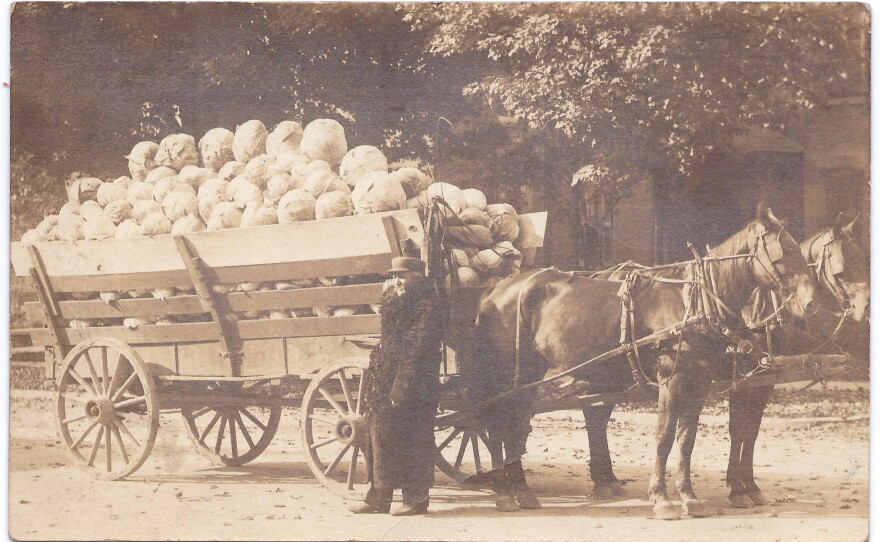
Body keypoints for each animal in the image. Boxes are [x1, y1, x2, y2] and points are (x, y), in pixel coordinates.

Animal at [468, 206, 820, 520]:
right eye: (782, 253)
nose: (810, 304)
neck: (695, 301)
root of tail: (496, 289)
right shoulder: (672, 380)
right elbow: (664, 437)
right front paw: (662, 499)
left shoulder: (700, 382)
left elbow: (687, 440)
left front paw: (689, 497)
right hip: (505, 372)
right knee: (496, 422)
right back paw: (505, 492)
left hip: (531, 372)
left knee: (515, 423)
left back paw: (522, 490)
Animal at [724, 214, 868, 510]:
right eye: (842, 269)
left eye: (864, 259)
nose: (867, 306)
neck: (759, 313)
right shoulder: (741, 383)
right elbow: (737, 430)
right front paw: (736, 488)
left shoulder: (763, 382)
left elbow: (751, 431)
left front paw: (750, 486)